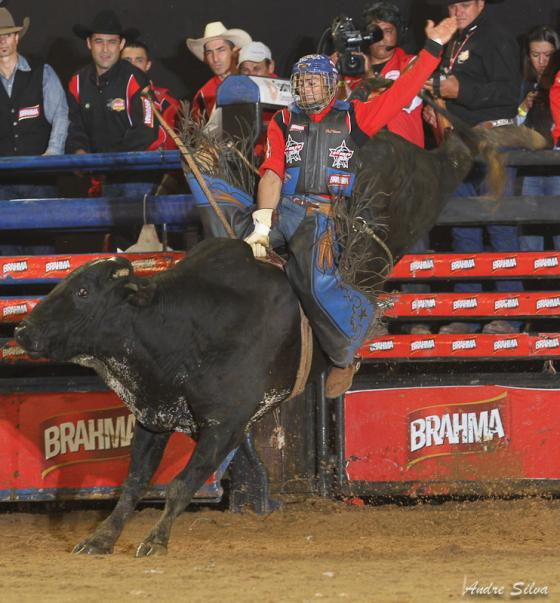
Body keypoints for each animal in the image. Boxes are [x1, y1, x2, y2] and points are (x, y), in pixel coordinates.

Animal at [16, 126, 544, 556]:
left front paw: (156, 540)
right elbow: (133, 484)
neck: (183, 329)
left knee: (453, 155)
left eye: (84, 292)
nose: (23, 330)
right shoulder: (153, 416)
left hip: (418, 196)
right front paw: (101, 539)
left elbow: (181, 484)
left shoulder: (225, 425)